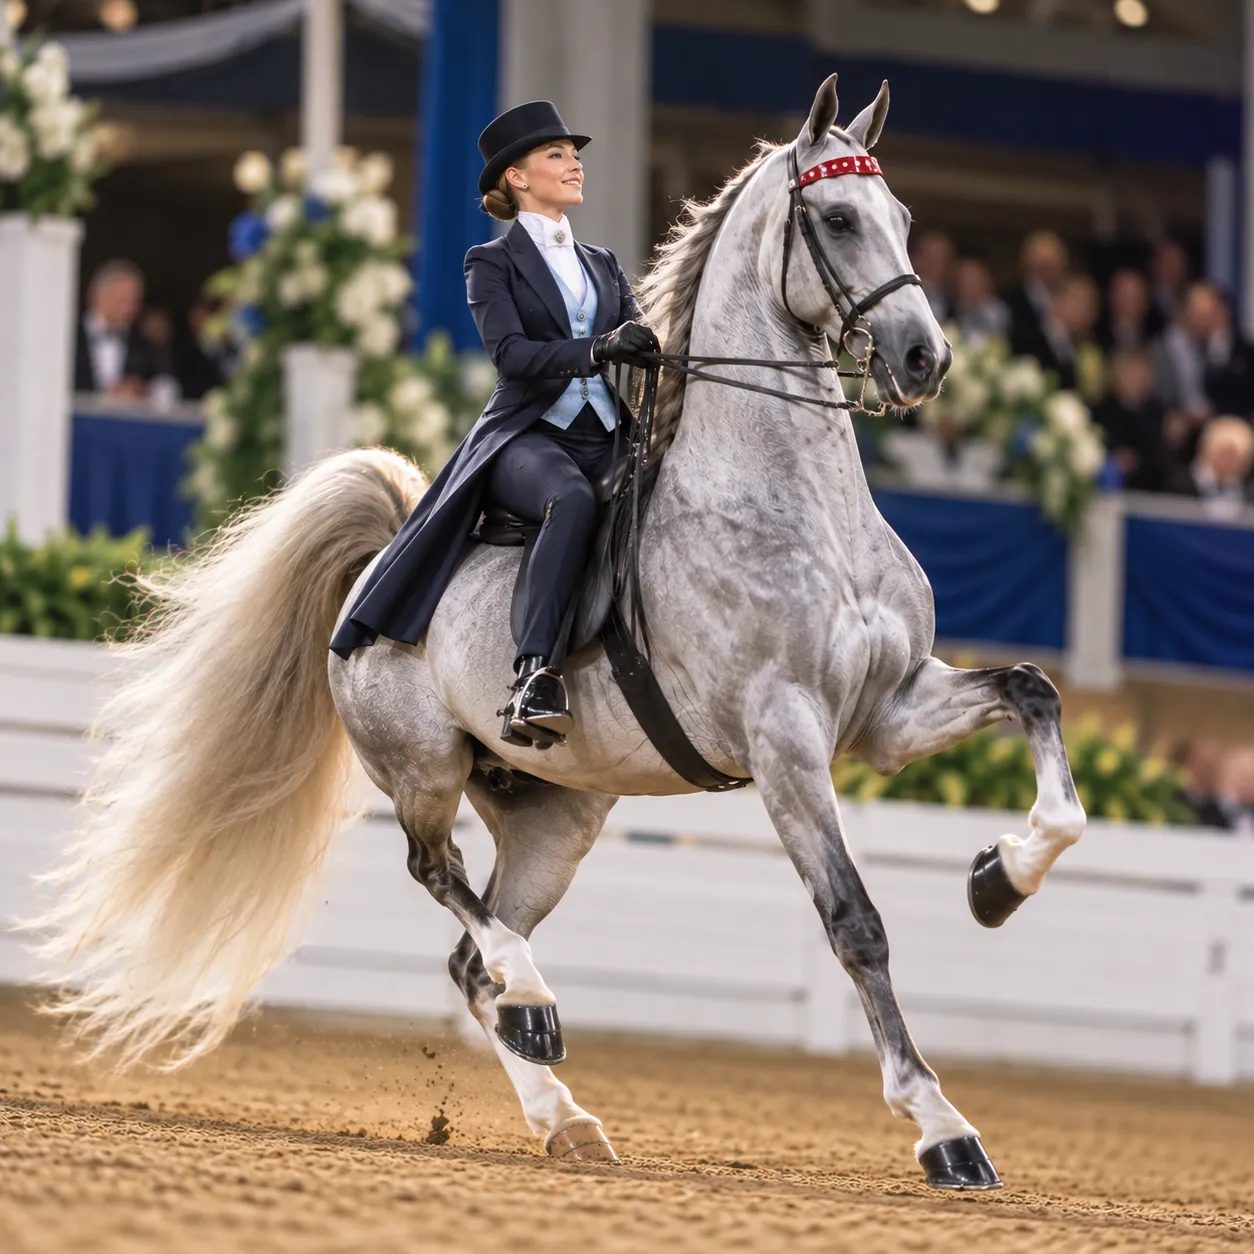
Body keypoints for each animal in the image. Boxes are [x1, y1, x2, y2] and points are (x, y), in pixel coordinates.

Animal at [32, 76, 1085, 1189]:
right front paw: (942, 1128)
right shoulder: (785, 736)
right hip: (421, 767)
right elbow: (856, 923)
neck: (798, 508)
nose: (927, 359)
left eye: (905, 218)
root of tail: (376, 568)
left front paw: (999, 879)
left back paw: (562, 1111)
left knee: (470, 954)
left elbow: (1035, 695)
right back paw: (537, 1006)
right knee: (441, 881)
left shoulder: (889, 709)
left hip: (556, 820)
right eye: (838, 219)